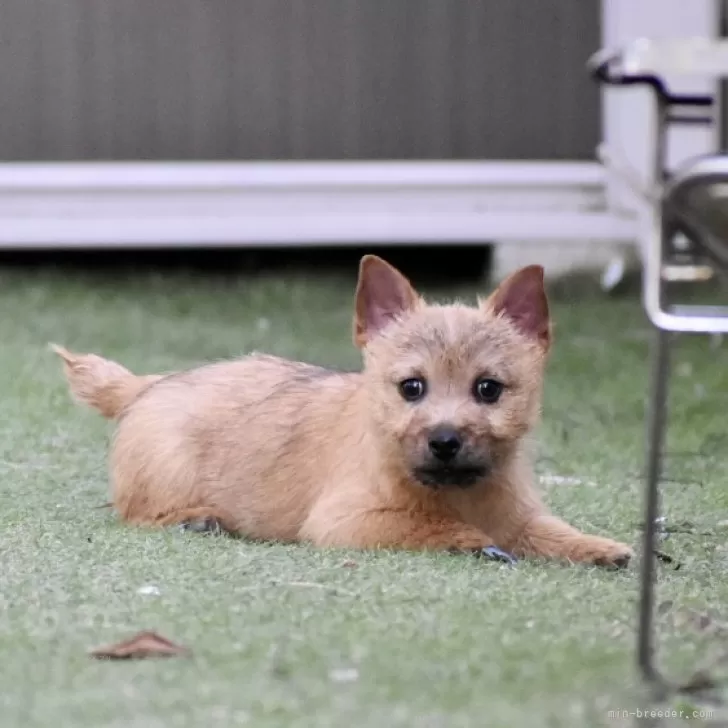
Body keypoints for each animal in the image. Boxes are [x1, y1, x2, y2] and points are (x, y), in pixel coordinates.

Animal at [52, 256, 632, 568]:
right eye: (411, 387)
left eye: (488, 389)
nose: (445, 441)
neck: (460, 493)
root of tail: (146, 384)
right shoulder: (345, 521)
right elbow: (422, 526)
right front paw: (467, 538)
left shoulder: (523, 515)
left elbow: (549, 531)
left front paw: (598, 547)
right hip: (165, 473)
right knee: (138, 514)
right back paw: (196, 519)